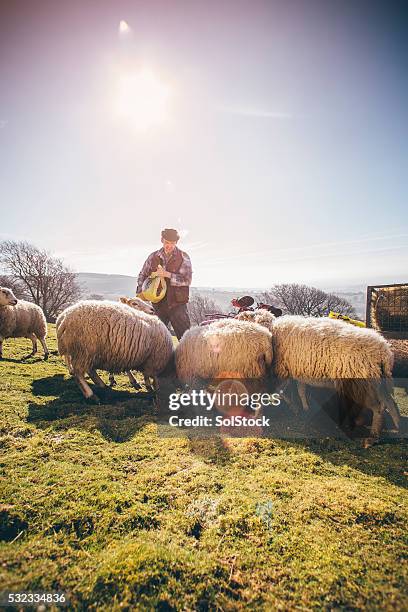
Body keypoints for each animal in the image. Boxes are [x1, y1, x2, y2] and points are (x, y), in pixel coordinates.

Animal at [236, 310, 398, 444]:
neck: (272, 332)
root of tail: (384, 351)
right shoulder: (299, 372)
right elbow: (300, 391)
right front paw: (304, 407)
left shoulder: (283, 370)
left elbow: (281, 391)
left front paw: (289, 407)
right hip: (377, 382)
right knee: (389, 404)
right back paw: (395, 427)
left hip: (361, 382)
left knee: (378, 407)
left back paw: (373, 434)